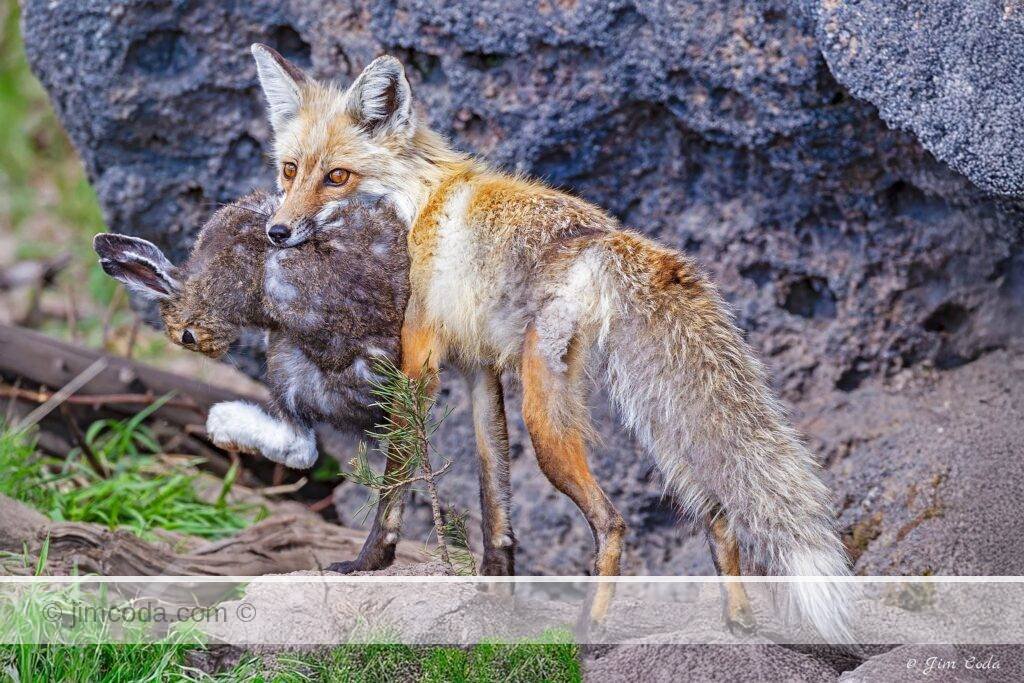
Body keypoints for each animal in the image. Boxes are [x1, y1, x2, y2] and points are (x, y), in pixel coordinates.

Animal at [93, 190, 410, 479]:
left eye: (187, 338)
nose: (214, 353)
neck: (202, 285)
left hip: (286, 357)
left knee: (300, 448)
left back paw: (223, 422)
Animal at [243, 43, 854, 640]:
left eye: (338, 177)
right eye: (290, 170)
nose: (277, 231)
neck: (417, 203)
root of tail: (609, 237)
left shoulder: (418, 361)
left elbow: (397, 478)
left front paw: (370, 562)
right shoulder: (478, 369)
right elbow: (494, 496)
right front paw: (495, 593)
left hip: (546, 413)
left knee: (613, 520)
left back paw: (590, 627)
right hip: (658, 422)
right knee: (719, 513)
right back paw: (738, 622)